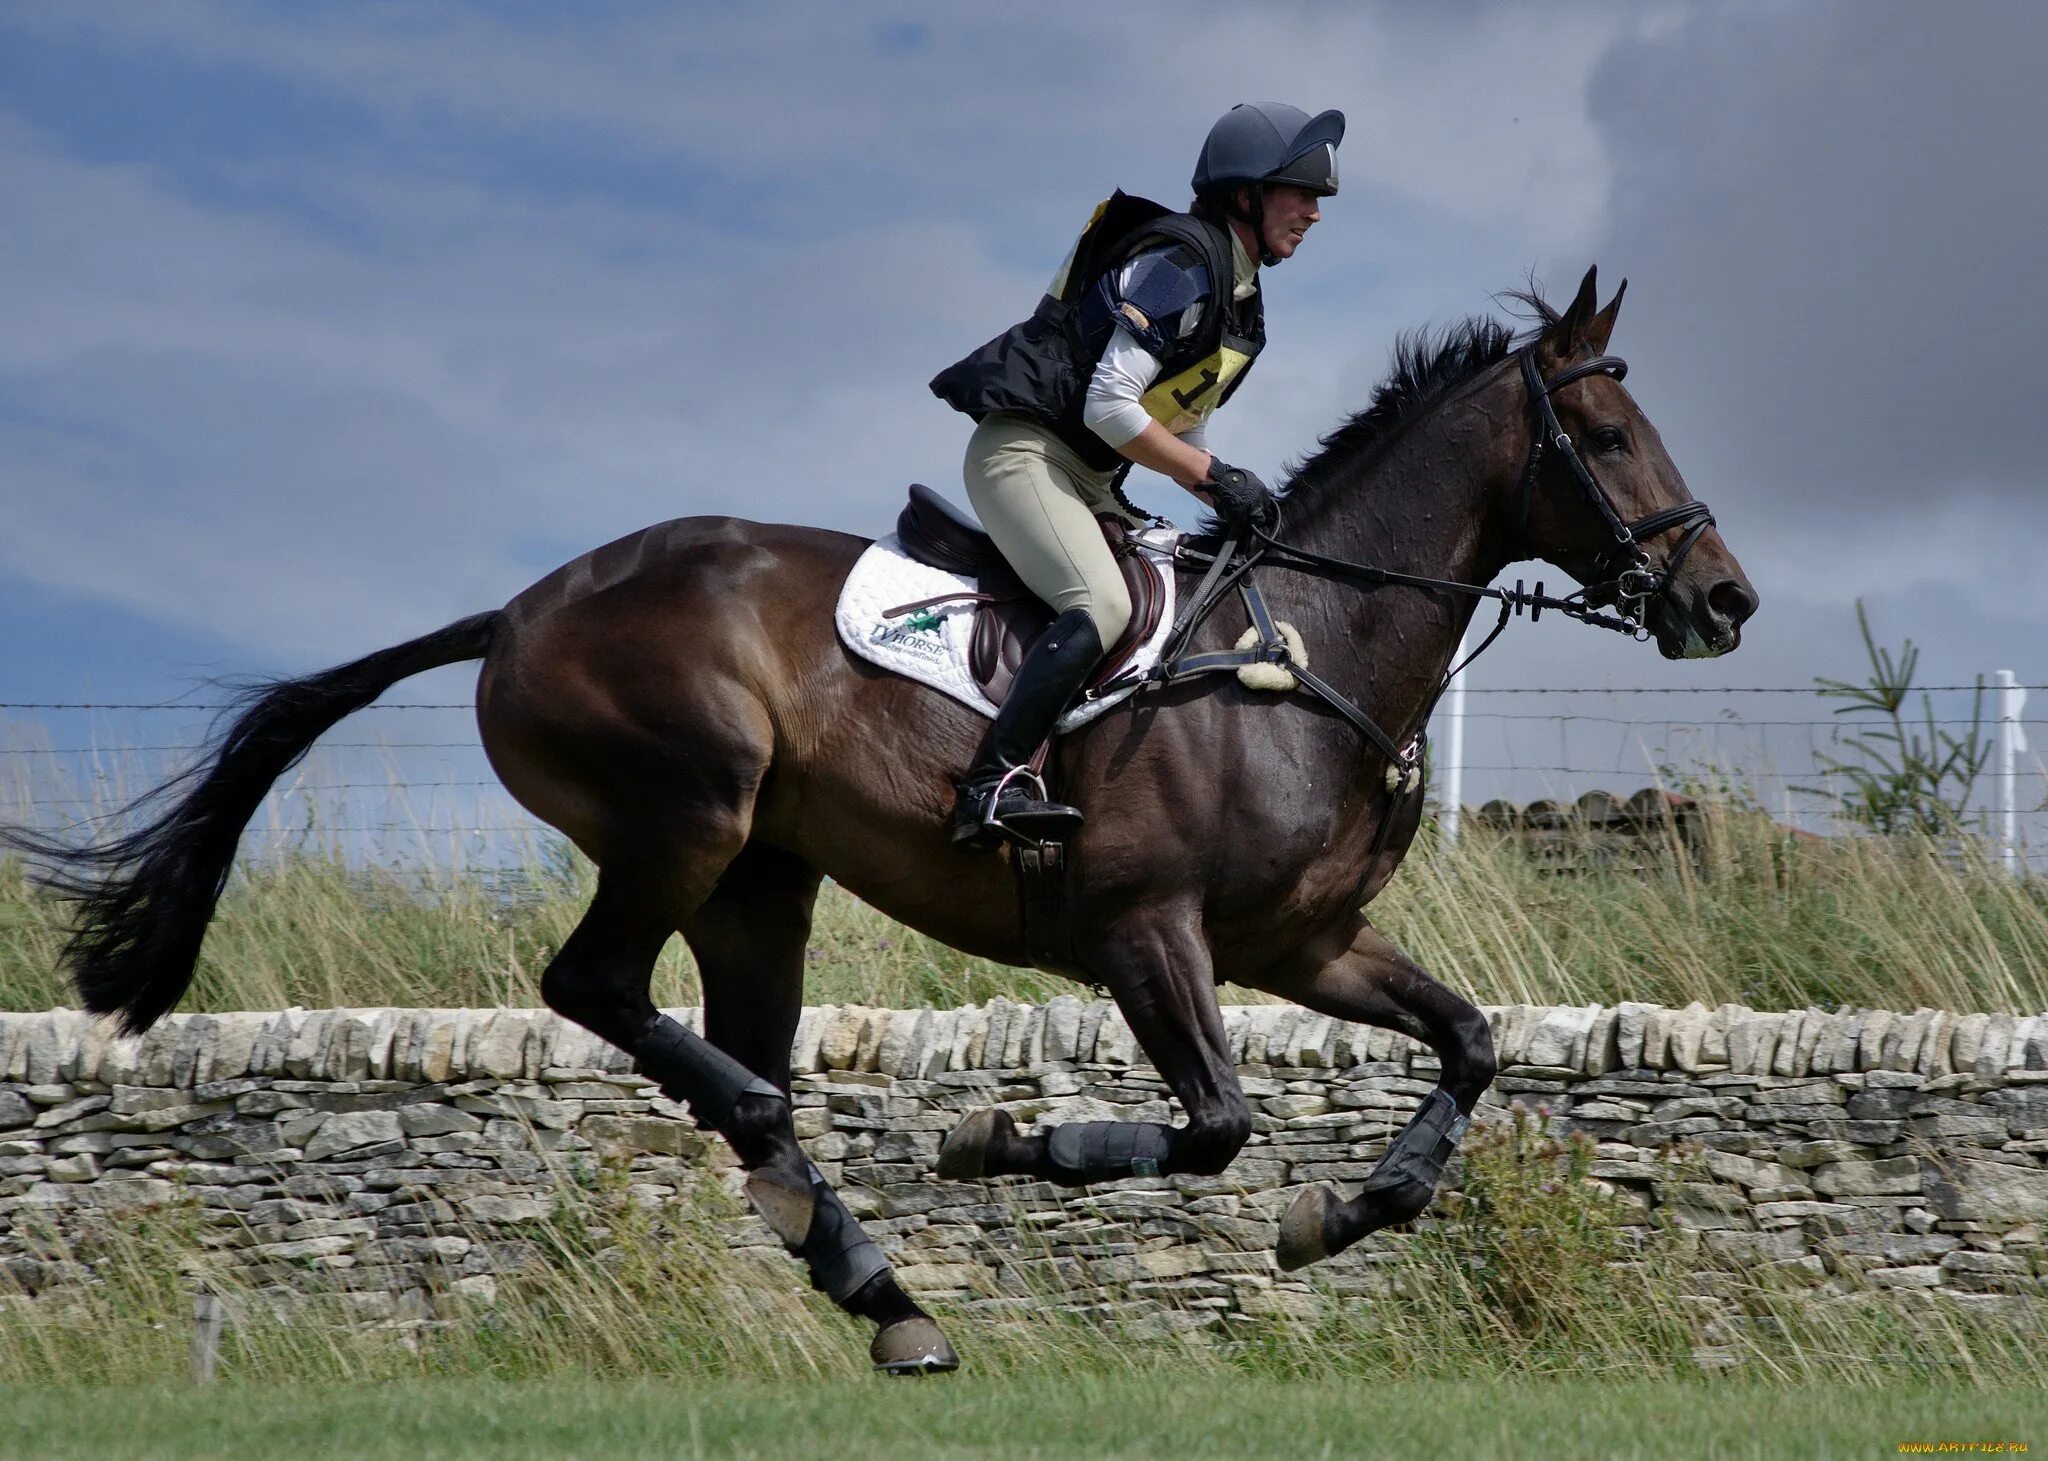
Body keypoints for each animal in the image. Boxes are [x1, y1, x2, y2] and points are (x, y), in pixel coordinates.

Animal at [8, 268, 1753, 1376]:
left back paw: (876, 1285)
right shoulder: (1150, 933)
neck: (1305, 644)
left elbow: (1467, 1043)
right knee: (605, 994)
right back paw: (816, 1197)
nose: (1724, 600)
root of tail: (520, 610)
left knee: (722, 1048)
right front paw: (990, 1140)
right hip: (687, 811)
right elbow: (1212, 1126)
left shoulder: (1305, 941)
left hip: (762, 878)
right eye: (1607, 437)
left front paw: (1340, 1216)